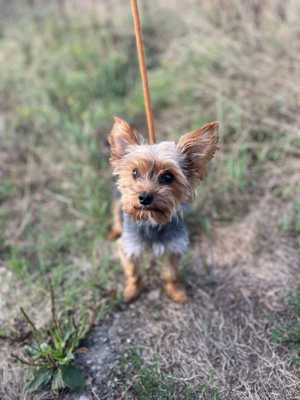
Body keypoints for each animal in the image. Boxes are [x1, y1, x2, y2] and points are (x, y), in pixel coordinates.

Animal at [108, 118, 218, 304]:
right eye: (134, 172)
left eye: (168, 177)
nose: (144, 197)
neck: (151, 220)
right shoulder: (129, 246)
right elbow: (133, 272)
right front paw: (132, 291)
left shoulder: (173, 248)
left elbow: (171, 274)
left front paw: (176, 292)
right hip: (119, 203)